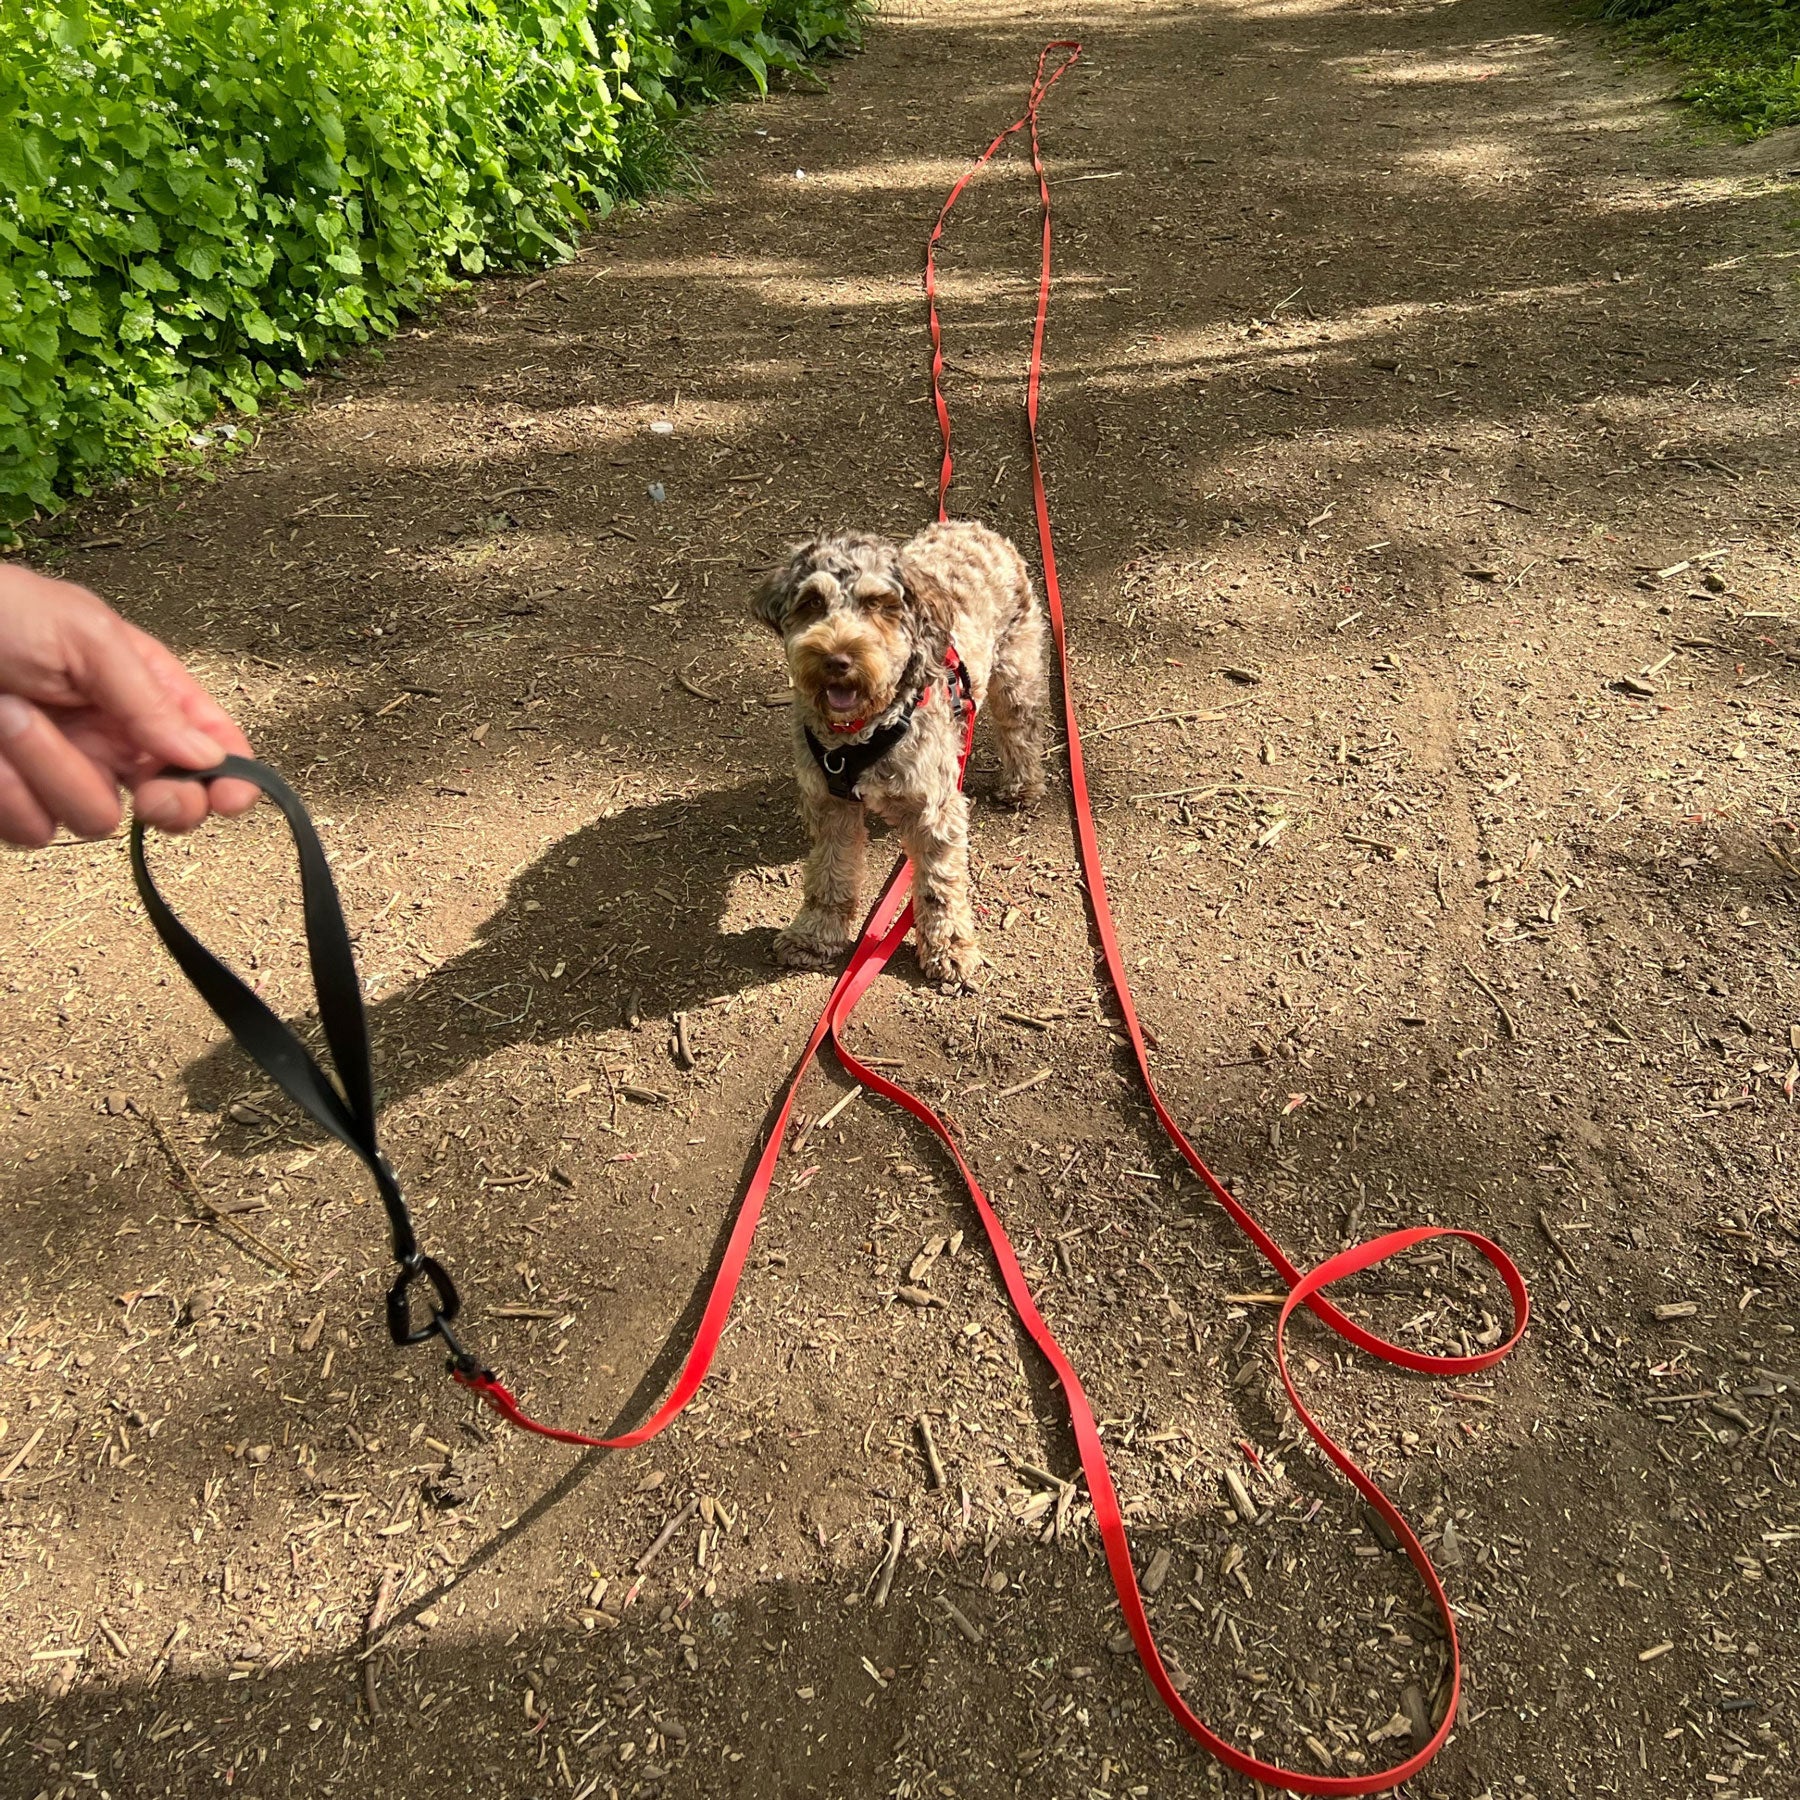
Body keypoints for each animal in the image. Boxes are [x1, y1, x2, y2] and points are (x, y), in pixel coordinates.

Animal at [748, 522, 1051, 993]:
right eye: (812, 602)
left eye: (878, 604)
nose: (837, 659)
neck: (859, 735)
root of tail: (970, 527)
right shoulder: (829, 804)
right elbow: (828, 874)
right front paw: (814, 936)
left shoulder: (936, 813)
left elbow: (939, 886)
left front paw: (950, 949)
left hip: (1016, 669)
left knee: (1019, 728)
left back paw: (1022, 784)